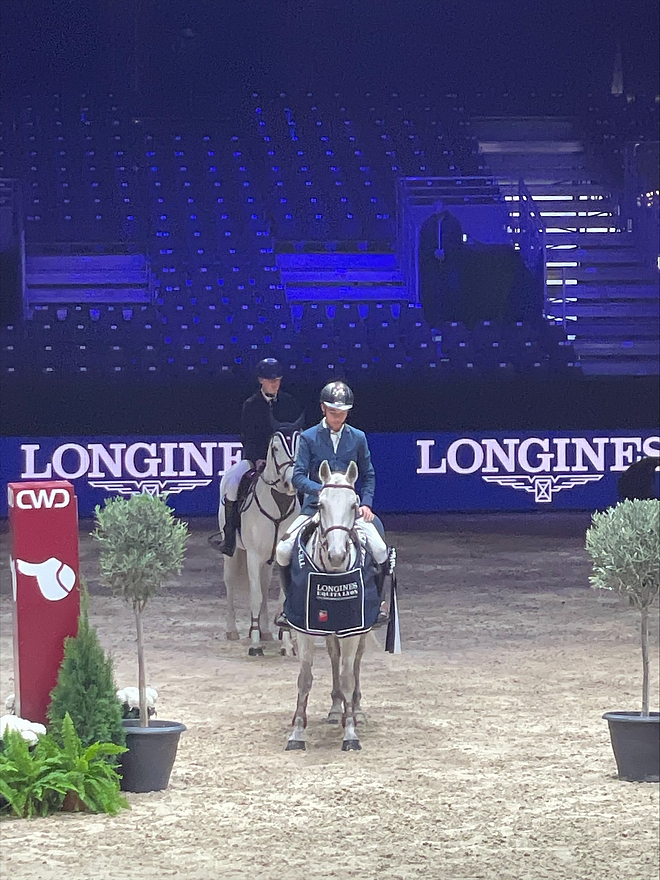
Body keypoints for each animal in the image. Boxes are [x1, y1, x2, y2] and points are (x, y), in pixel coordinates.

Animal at [218, 430, 300, 656]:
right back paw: (232, 630)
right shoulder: (253, 556)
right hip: (233, 555)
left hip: (267, 561)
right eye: (275, 448)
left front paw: (286, 645)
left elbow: (280, 599)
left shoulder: (280, 558)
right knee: (230, 584)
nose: (291, 483)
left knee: (263, 586)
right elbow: (255, 596)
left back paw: (265, 631)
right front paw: (255, 646)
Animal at [276, 458, 376, 752]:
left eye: (354, 505)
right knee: (334, 656)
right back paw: (335, 710)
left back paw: (355, 711)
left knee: (354, 663)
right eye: (320, 505)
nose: (336, 555)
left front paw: (351, 733)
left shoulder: (353, 628)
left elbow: (348, 676)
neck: (331, 575)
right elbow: (305, 678)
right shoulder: (304, 628)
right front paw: (297, 732)